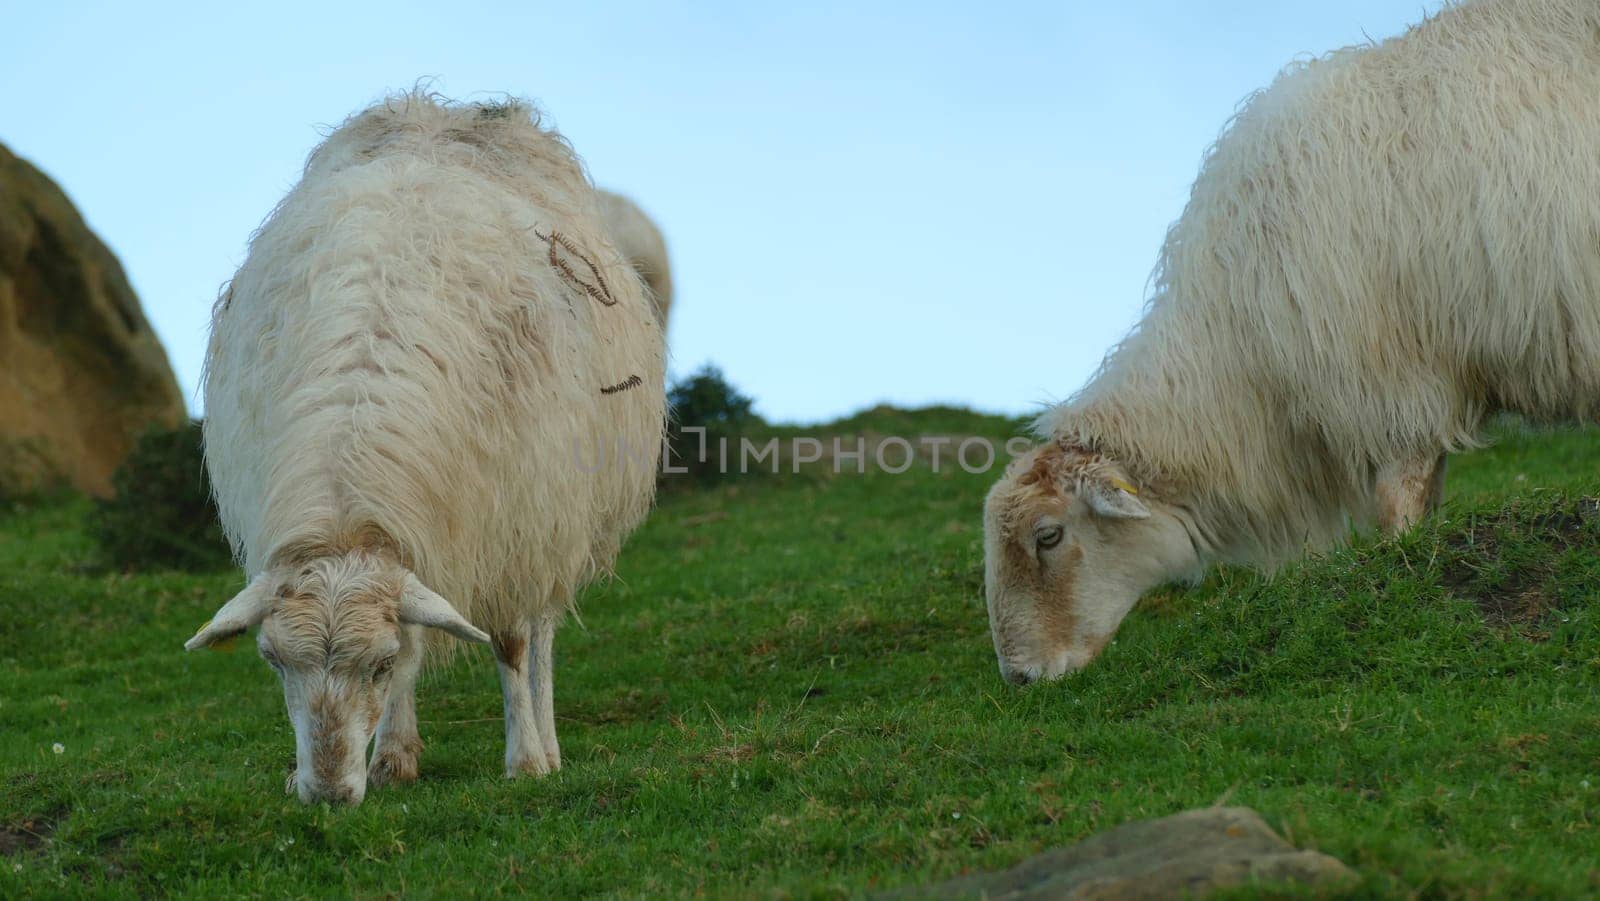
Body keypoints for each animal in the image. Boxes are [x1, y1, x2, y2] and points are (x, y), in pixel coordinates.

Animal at [185, 95, 662, 806]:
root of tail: (442, 110)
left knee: (543, 631)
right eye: (272, 662)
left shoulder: (512, 520)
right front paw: (390, 757)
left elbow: (509, 642)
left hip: (556, 510)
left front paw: (525, 762)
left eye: (376, 666)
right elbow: (416, 639)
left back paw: (547, 743)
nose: (328, 795)